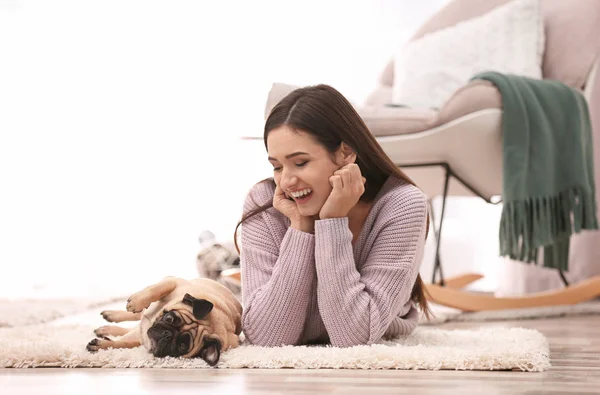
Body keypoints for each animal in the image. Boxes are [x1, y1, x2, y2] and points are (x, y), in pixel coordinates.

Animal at [86, 276, 241, 366]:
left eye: (182, 345)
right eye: (169, 319)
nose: (167, 334)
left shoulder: (141, 339)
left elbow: (122, 343)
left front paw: (102, 345)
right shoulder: (173, 281)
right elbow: (156, 289)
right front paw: (136, 302)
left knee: (132, 327)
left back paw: (105, 329)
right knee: (136, 315)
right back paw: (113, 314)